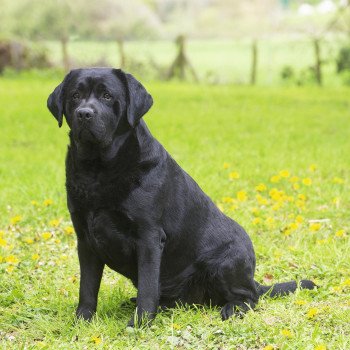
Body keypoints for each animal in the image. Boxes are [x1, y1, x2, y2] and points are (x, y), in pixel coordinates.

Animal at [45, 69, 314, 328]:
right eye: (75, 96)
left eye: (107, 96)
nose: (84, 114)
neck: (98, 169)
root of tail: (253, 279)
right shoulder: (86, 239)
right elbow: (87, 287)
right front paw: (83, 320)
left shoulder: (149, 236)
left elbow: (147, 287)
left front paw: (140, 323)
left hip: (227, 259)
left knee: (249, 296)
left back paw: (233, 308)